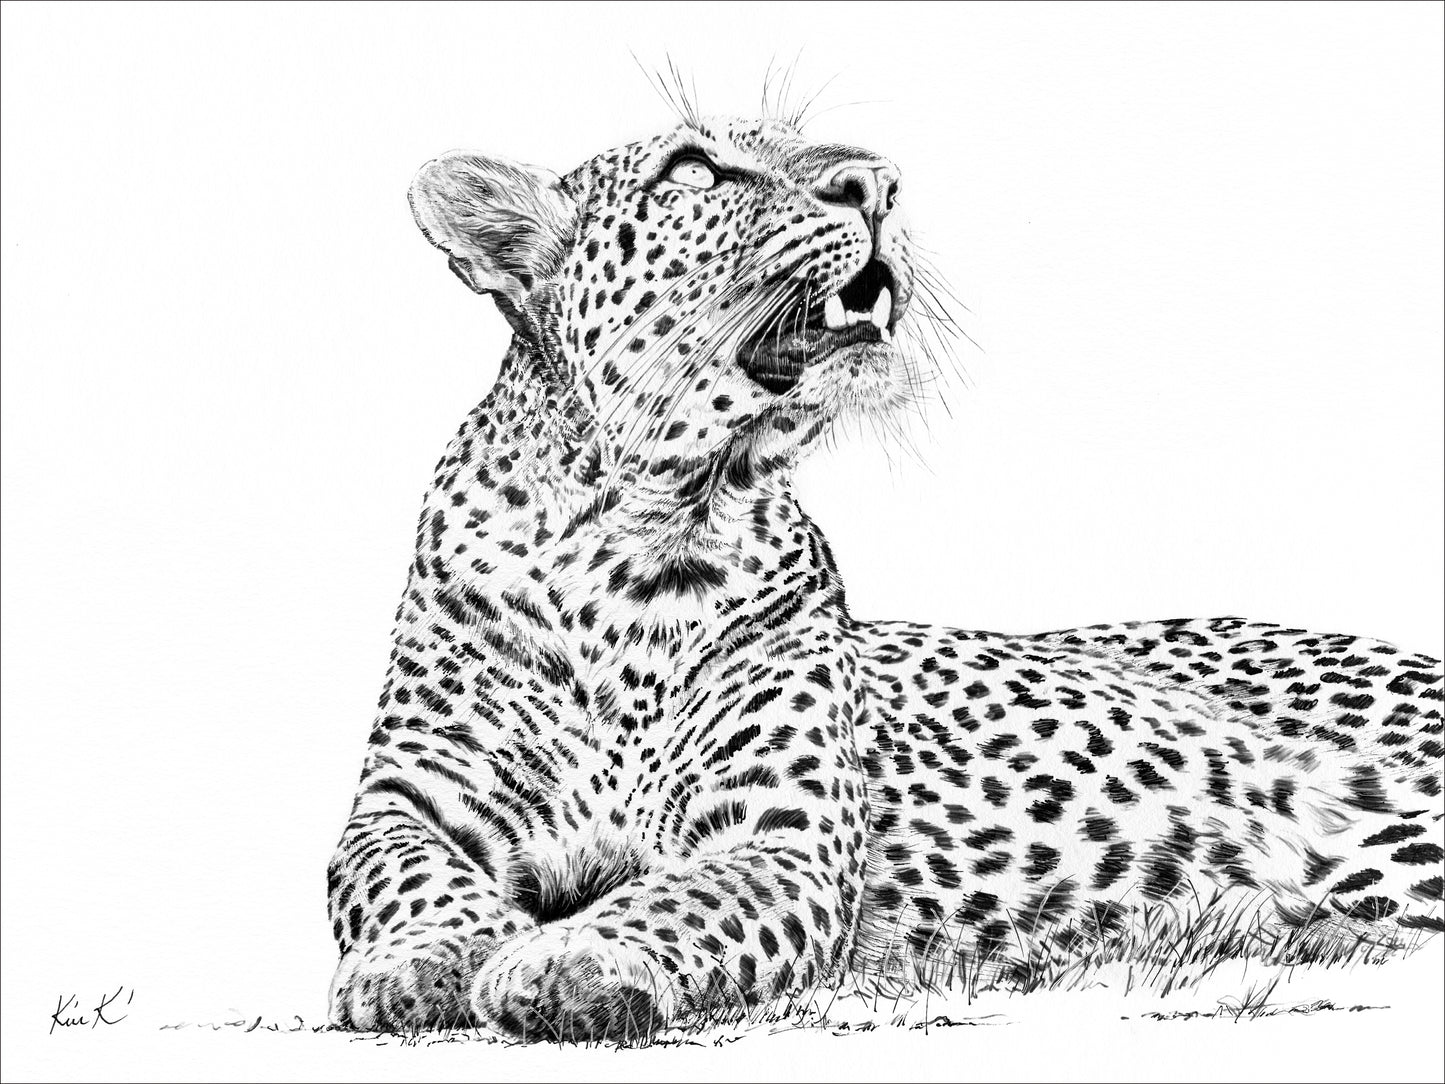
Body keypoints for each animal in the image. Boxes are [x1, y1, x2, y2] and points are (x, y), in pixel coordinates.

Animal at [326, 112, 1444, 1042]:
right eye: (692, 169)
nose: (876, 182)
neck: (642, 536)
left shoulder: (780, 832)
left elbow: (683, 895)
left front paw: (573, 959)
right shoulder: (403, 803)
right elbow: (401, 875)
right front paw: (423, 960)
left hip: (1378, 834)